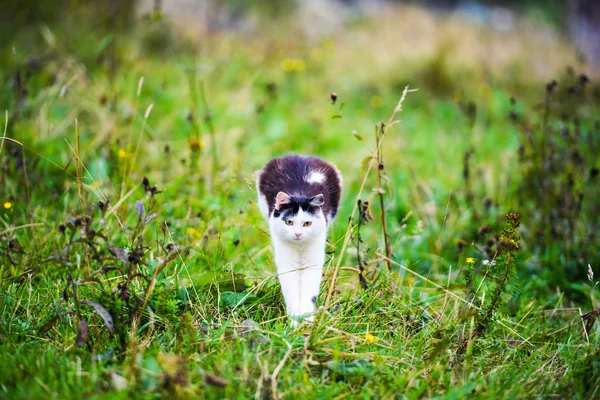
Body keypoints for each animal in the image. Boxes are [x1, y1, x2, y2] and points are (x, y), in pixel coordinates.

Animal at [255, 155, 342, 324]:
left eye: (307, 223)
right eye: (289, 222)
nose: (297, 234)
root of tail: (301, 156)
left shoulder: (312, 263)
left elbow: (309, 293)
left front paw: (307, 322)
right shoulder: (287, 264)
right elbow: (292, 292)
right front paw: (294, 323)